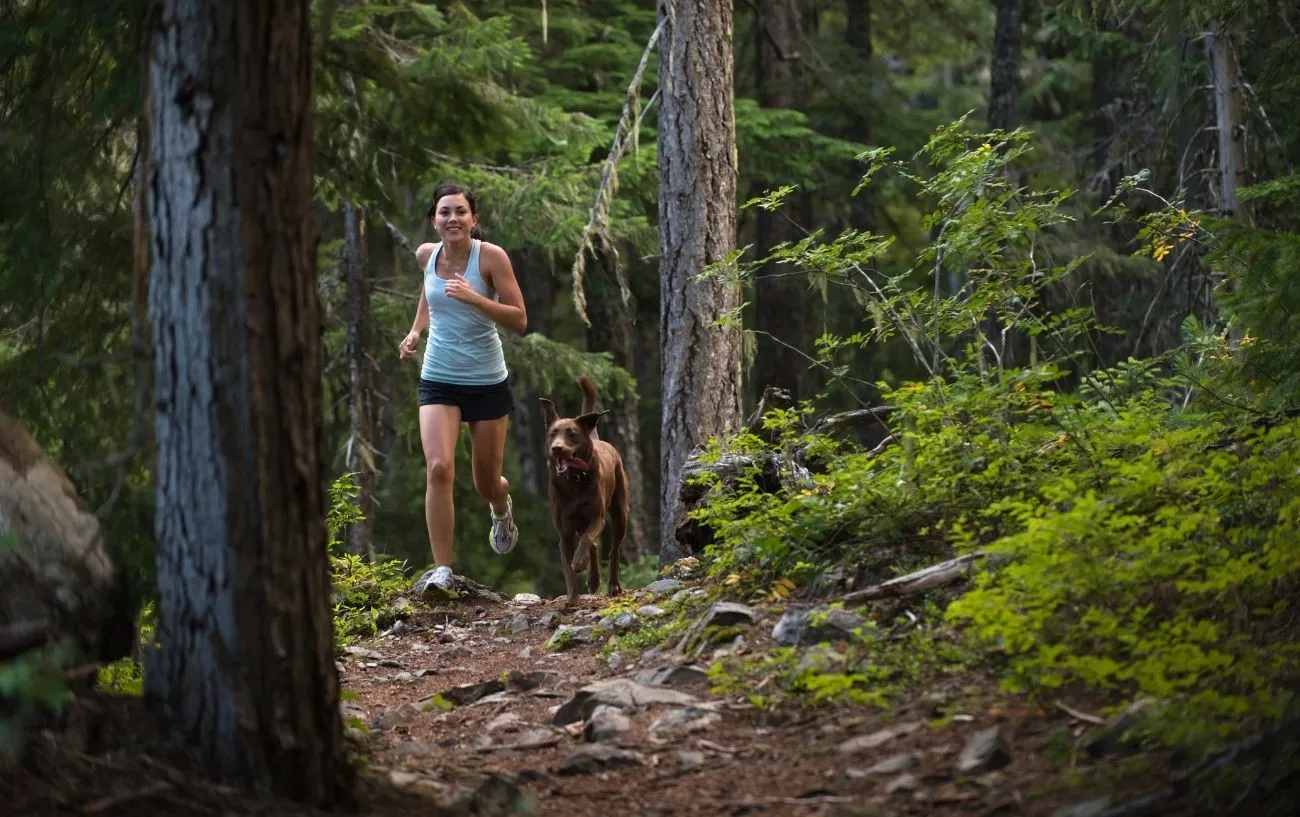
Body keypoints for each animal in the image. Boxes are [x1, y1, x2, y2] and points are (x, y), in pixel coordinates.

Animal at [538, 374, 629, 603]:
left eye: (572, 433)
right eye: (552, 434)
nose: (557, 448)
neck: (573, 481)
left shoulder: (597, 518)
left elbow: (588, 539)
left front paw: (579, 562)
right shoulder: (564, 532)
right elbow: (568, 569)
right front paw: (572, 599)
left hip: (620, 512)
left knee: (613, 550)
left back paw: (612, 585)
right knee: (594, 547)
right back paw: (593, 580)